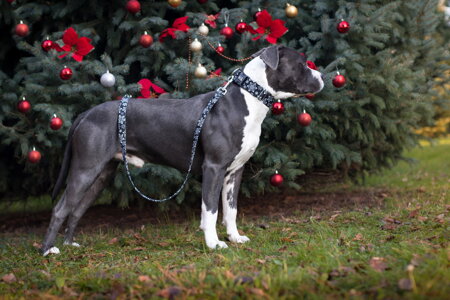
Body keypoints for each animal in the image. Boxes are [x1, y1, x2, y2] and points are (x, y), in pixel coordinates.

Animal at [41, 44, 324, 255]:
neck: (248, 100)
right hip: (85, 169)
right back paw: (48, 251)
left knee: (77, 209)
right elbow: (210, 210)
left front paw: (235, 238)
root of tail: (86, 113)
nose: (323, 77)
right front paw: (214, 244)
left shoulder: (235, 172)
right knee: (60, 208)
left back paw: (70, 244)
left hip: (101, 174)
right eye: (303, 64)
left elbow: (230, 209)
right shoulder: (214, 168)